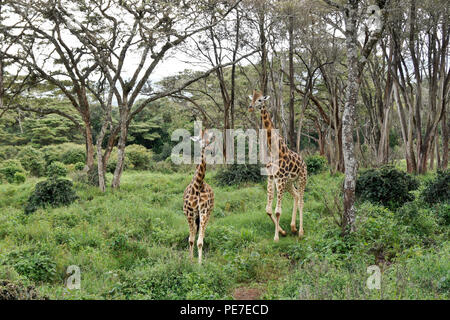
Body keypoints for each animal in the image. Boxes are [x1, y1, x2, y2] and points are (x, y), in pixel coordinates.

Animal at [248, 90, 308, 240]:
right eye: (252, 99)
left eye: (260, 100)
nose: (250, 107)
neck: (274, 148)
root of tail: (304, 162)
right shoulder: (271, 178)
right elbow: (268, 210)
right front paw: (282, 232)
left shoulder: (279, 179)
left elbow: (277, 211)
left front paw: (276, 238)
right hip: (288, 183)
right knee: (296, 196)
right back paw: (293, 227)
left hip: (302, 178)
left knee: (301, 200)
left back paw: (300, 232)